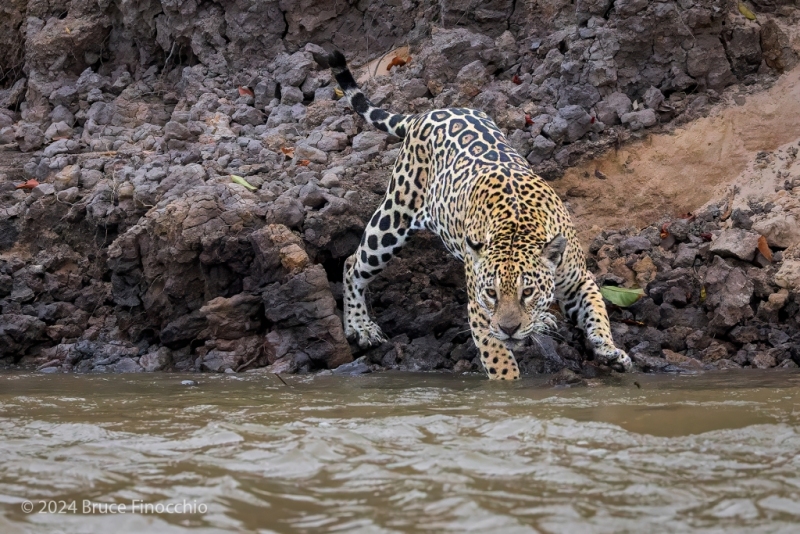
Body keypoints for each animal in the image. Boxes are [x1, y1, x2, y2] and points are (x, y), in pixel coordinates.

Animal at [320, 50, 632, 379]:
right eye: (491, 293)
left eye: (527, 291)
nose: (509, 329)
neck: (519, 227)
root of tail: (430, 112)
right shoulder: (479, 311)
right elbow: (500, 360)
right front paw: (510, 384)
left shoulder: (578, 280)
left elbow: (598, 312)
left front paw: (609, 349)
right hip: (395, 215)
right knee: (353, 264)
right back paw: (361, 326)